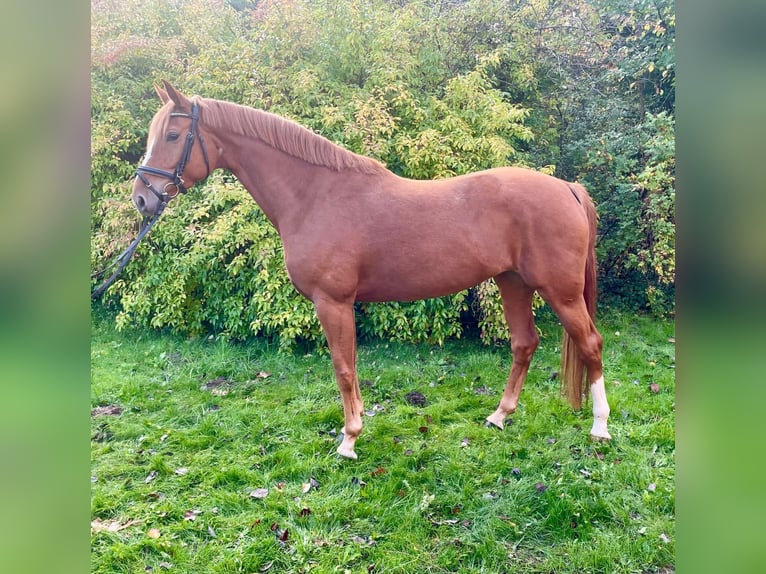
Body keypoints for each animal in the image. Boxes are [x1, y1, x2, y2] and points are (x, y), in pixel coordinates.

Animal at [131, 80, 611, 460]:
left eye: (173, 134)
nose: (142, 197)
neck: (315, 195)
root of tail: (567, 188)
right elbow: (349, 367)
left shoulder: (333, 302)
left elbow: (344, 368)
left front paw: (349, 439)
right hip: (513, 283)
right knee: (524, 343)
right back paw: (499, 415)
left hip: (560, 291)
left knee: (590, 344)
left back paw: (600, 427)